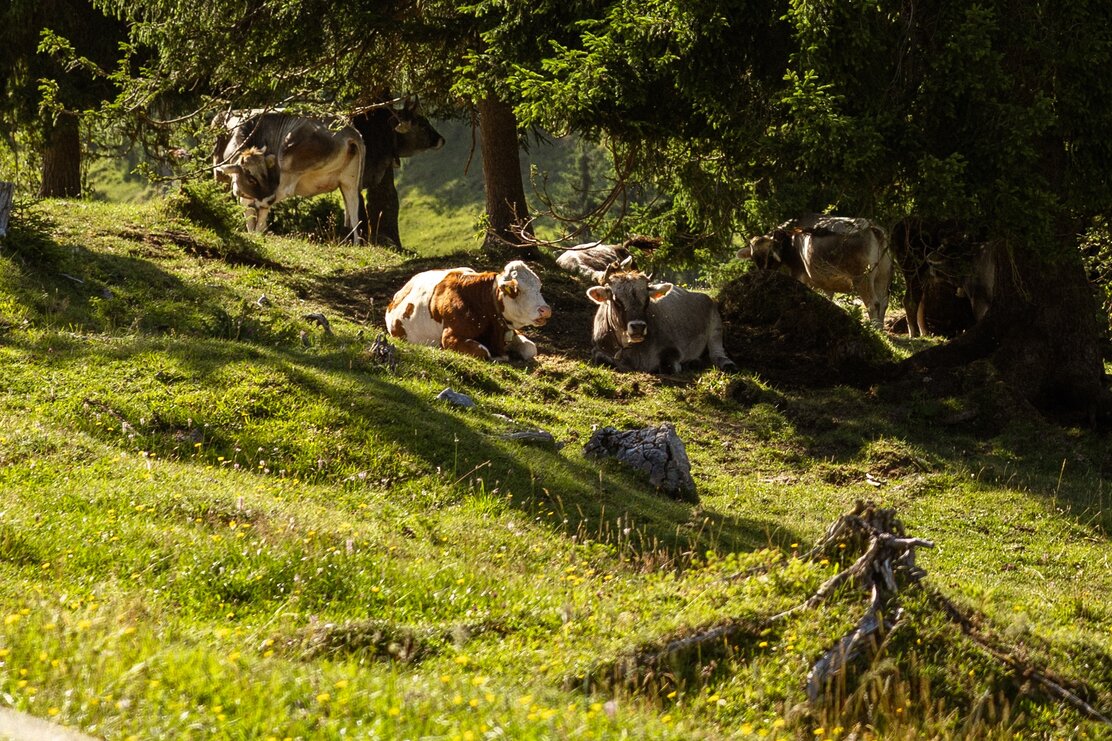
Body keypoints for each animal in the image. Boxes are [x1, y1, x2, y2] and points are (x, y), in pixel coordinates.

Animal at [212, 111, 365, 241]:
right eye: (251, 179)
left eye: (266, 173)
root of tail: (348, 131)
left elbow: (249, 203)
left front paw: (254, 232)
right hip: (348, 181)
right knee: (354, 207)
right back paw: (355, 243)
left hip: (287, 167)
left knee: (272, 199)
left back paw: (260, 231)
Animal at [385, 261, 552, 361]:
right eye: (517, 290)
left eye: (539, 287)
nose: (546, 310)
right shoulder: (450, 337)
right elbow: (484, 351)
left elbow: (531, 348)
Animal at [587, 265, 736, 374]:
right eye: (617, 300)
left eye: (647, 300)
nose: (638, 327)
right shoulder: (597, 347)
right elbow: (600, 358)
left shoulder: (672, 349)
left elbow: (668, 367)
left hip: (716, 326)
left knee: (717, 352)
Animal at [739, 215, 892, 329]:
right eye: (753, 257)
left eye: (771, 255)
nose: (763, 274)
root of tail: (871, 227)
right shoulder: (827, 282)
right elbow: (828, 298)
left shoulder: (798, 273)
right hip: (883, 275)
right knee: (884, 302)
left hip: (862, 277)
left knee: (873, 304)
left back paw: (875, 330)